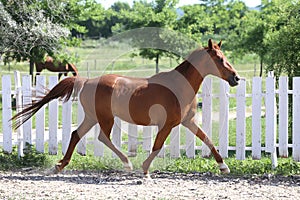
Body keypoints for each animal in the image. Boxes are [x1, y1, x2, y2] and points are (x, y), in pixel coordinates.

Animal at [12, 39, 240, 177]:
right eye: (220, 59)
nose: (236, 78)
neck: (179, 86)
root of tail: (86, 81)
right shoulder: (166, 125)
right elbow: (157, 146)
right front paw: (145, 170)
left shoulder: (188, 121)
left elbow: (207, 139)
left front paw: (224, 166)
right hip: (106, 118)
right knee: (103, 138)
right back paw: (126, 163)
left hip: (92, 117)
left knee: (76, 134)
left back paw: (60, 165)